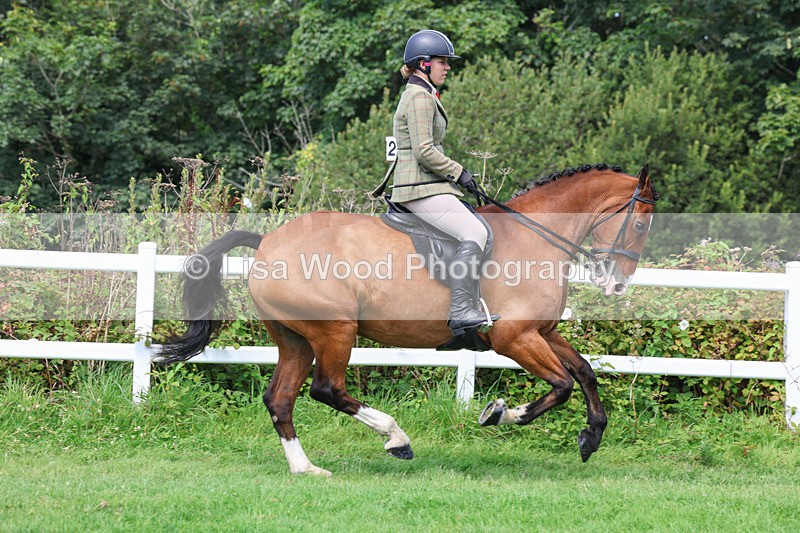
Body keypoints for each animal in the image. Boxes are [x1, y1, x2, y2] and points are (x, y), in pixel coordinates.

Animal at [158, 163, 658, 477]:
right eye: (639, 224)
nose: (617, 286)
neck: (533, 236)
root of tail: (266, 244)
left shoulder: (543, 332)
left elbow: (585, 373)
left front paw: (591, 437)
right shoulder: (513, 337)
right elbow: (562, 385)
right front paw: (500, 413)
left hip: (294, 338)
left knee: (280, 399)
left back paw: (306, 468)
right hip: (334, 330)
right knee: (327, 389)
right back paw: (395, 439)